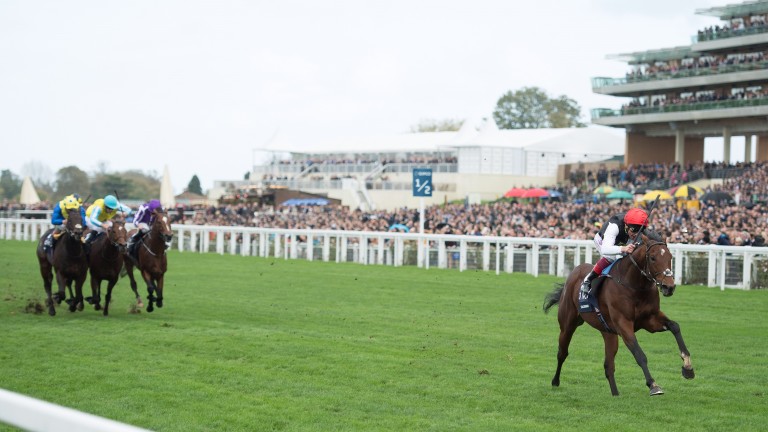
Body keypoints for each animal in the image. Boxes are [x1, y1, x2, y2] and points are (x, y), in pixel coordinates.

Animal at [540, 205, 696, 394]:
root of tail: (574, 273)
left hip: (608, 332)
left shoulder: (650, 320)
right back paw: (555, 381)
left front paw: (687, 367)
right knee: (562, 352)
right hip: (568, 323)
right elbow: (639, 354)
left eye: (670, 258)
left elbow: (675, 326)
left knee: (609, 366)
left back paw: (615, 394)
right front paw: (653, 384)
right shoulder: (624, 324)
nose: (669, 286)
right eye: (653, 258)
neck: (635, 286)